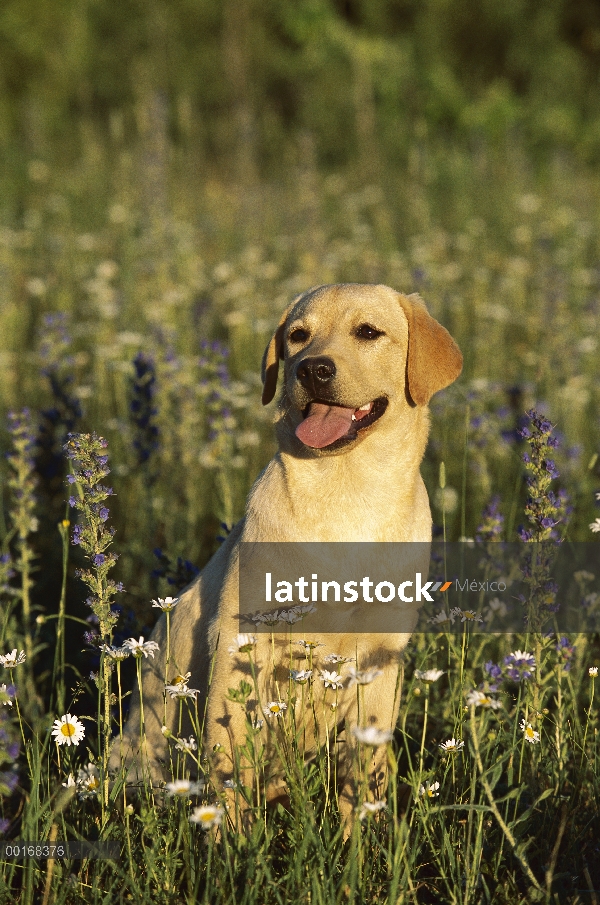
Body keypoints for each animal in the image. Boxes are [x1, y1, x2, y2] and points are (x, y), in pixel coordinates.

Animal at [110, 284, 462, 828]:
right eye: (298, 335)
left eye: (368, 332)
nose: (312, 369)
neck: (347, 491)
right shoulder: (241, 645)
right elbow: (228, 761)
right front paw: (232, 844)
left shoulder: (380, 658)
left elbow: (362, 777)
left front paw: (358, 844)